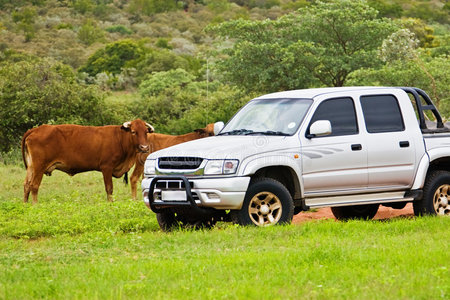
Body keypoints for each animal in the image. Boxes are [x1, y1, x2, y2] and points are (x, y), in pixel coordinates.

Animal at [22, 119, 154, 204]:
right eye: (133, 131)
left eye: (145, 132)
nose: (144, 148)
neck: (120, 138)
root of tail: (36, 129)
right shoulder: (106, 167)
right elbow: (109, 188)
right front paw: (110, 203)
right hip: (39, 167)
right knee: (34, 185)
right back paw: (35, 204)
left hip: (31, 167)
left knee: (27, 185)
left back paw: (25, 204)